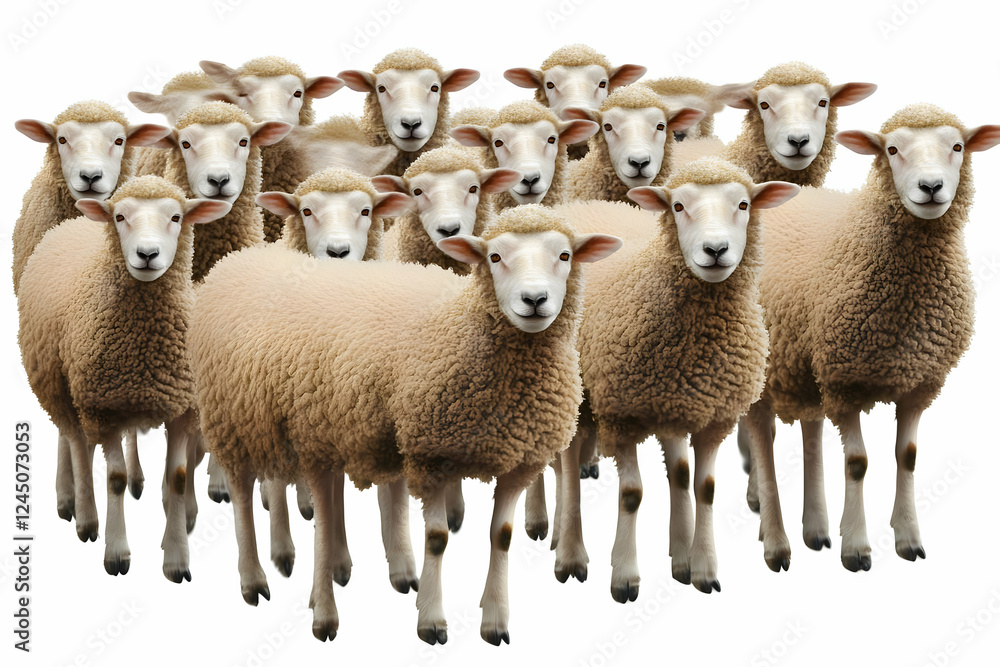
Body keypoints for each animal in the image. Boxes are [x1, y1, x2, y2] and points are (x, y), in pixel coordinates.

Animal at [17, 175, 230, 580]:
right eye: (119, 217)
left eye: (176, 217)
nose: (147, 254)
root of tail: (73, 222)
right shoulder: (104, 408)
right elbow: (113, 478)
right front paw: (116, 552)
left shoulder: (182, 408)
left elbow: (178, 477)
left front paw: (176, 556)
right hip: (57, 382)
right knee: (73, 440)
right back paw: (81, 511)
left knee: (81, 441)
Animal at [189, 205, 620, 644]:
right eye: (494, 257)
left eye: (565, 255)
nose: (534, 300)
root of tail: (237, 258)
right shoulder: (431, 455)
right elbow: (437, 538)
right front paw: (431, 619)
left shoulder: (519, 461)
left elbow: (501, 536)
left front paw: (495, 619)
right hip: (238, 419)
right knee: (247, 495)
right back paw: (263, 582)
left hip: (294, 423)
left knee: (300, 488)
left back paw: (325, 568)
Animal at [551, 158, 798, 598]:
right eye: (678, 206)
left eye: (744, 204)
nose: (715, 250)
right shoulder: (622, 415)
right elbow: (632, 494)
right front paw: (624, 576)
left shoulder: (712, 415)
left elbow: (704, 487)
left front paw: (703, 568)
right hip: (582, 395)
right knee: (568, 463)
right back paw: (570, 553)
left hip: (670, 402)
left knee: (677, 470)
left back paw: (679, 555)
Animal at [743, 105, 1000, 574]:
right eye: (892, 149)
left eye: (958, 146)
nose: (931, 187)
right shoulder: (845, 381)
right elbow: (858, 462)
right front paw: (857, 547)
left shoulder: (920, 383)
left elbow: (908, 456)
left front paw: (908, 538)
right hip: (770, 364)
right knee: (762, 438)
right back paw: (775, 540)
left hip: (804, 362)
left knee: (810, 432)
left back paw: (815, 527)